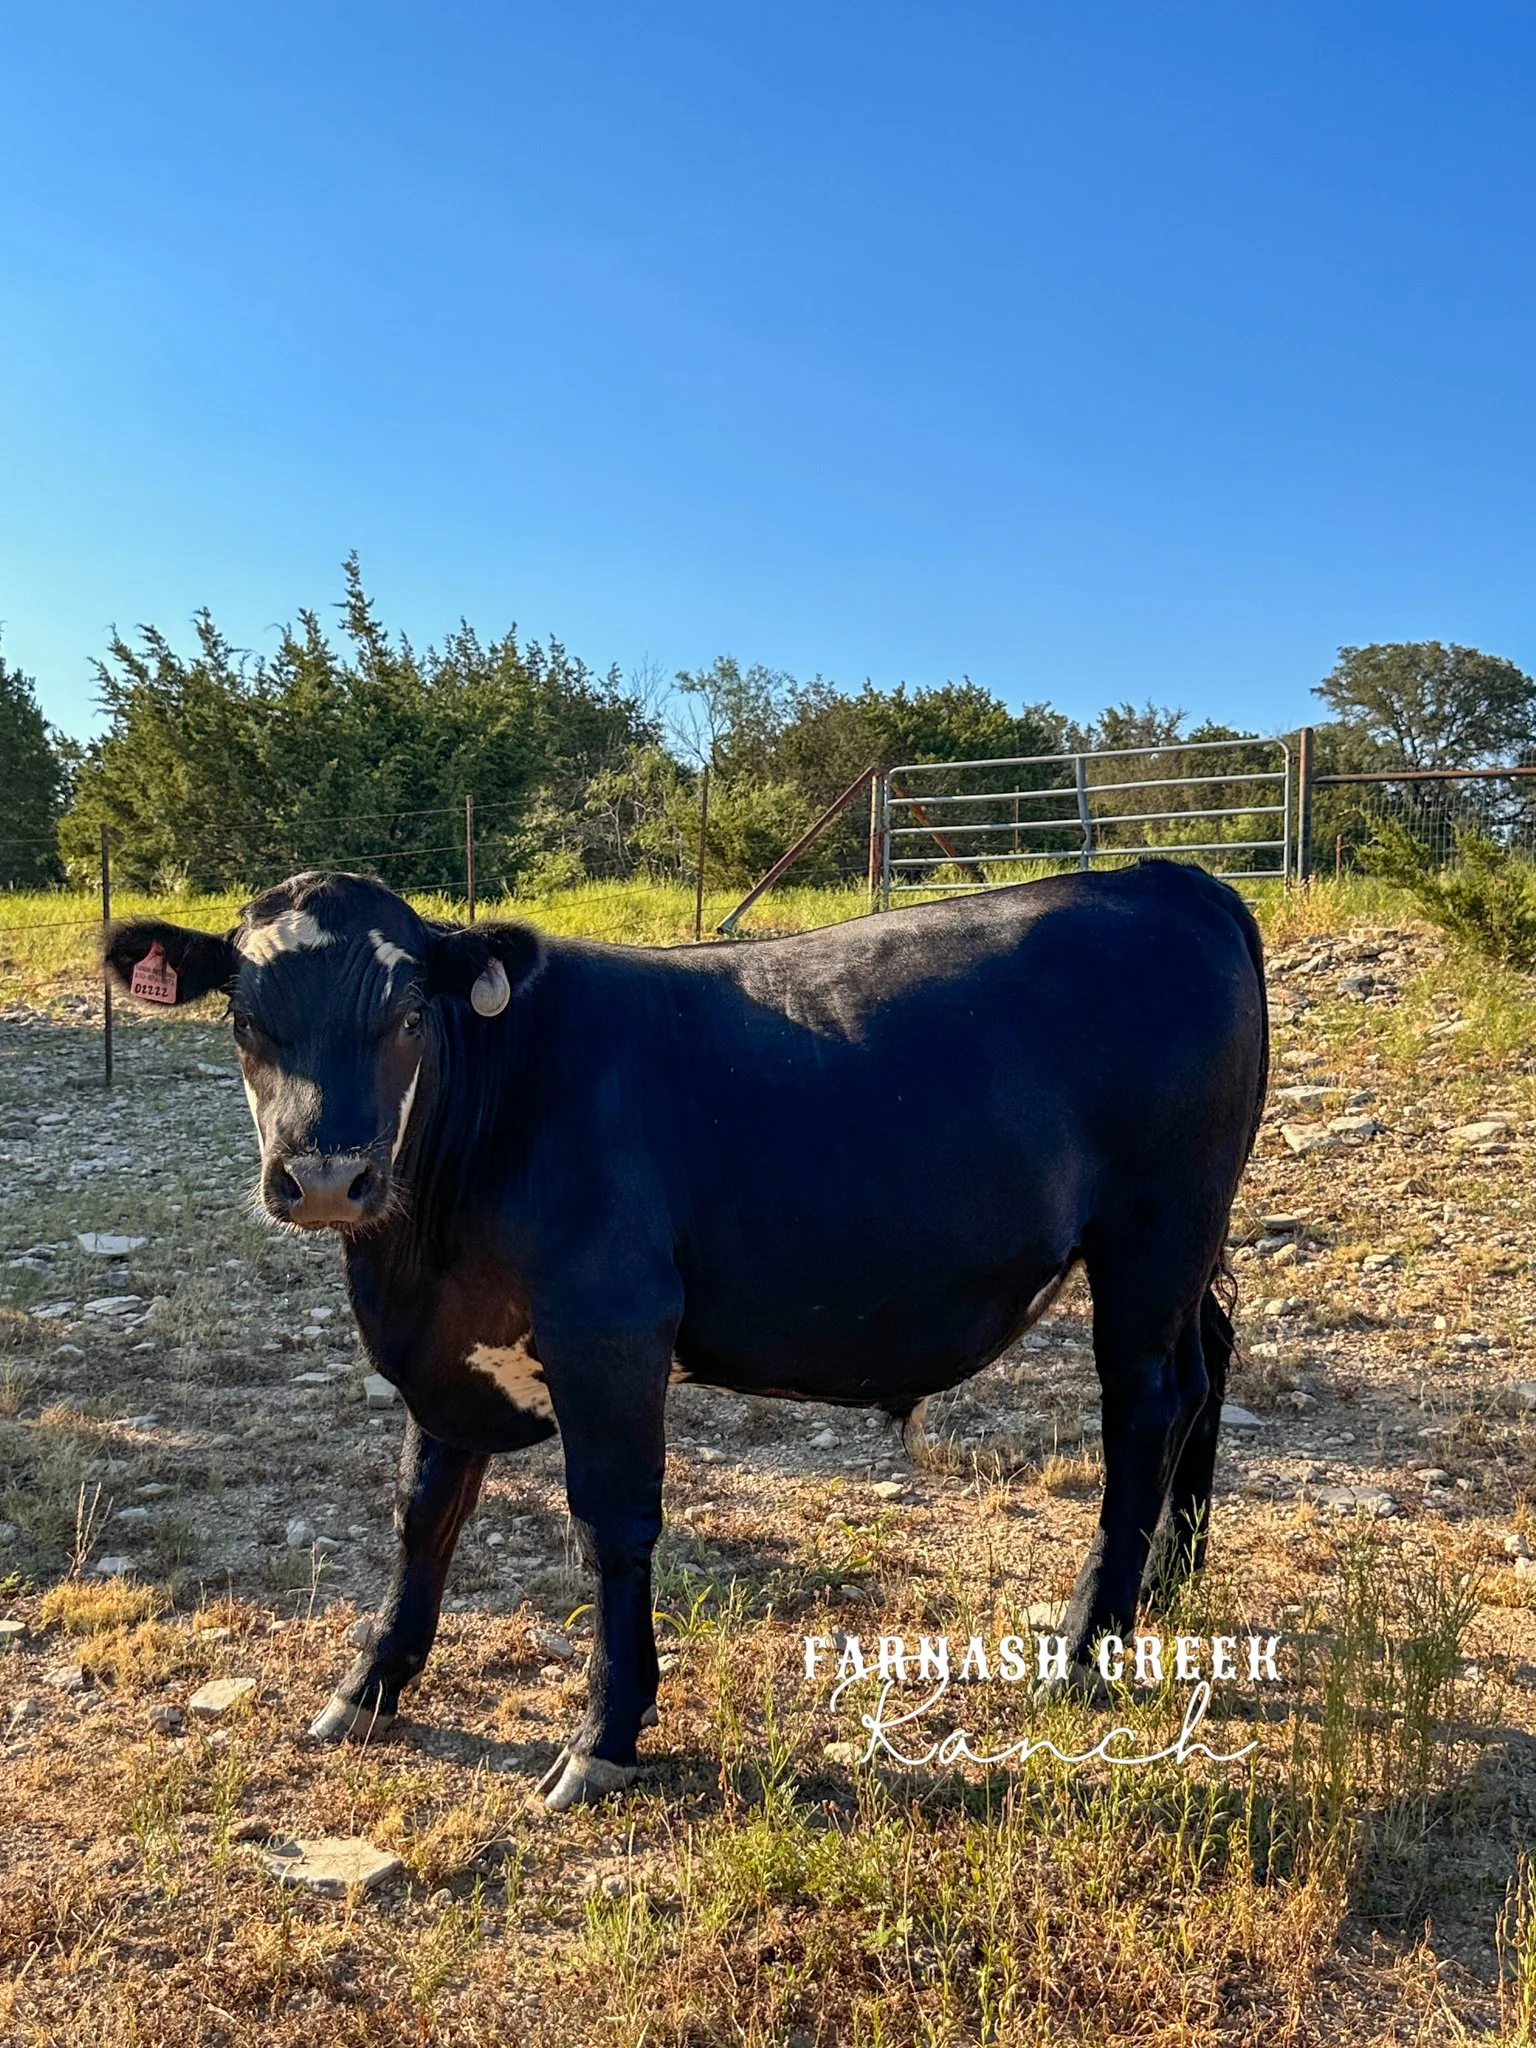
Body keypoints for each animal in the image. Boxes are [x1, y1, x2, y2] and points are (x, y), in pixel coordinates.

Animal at [105, 858, 1267, 1809]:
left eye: (407, 1016)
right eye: (244, 1016)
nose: (327, 1176)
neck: (415, 1254)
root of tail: (1170, 878)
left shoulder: (610, 1328)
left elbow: (609, 1528)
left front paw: (605, 1736)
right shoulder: (444, 1352)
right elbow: (420, 1514)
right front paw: (369, 1684)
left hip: (1153, 1231)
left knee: (1147, 1405)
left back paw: (1087, 1646)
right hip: (1187, 1249)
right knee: (1207, 1365)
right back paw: (1172, 1578)